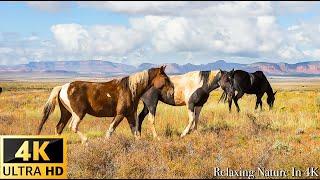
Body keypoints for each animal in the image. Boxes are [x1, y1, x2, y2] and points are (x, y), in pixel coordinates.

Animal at [36, 66, 174, 143]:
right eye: (165, 78)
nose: (172, 91)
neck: (130, 89)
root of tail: (63, 87)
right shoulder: (120, 114)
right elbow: (110, 130)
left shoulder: (130, 115)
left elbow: (135, 132)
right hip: (78, 113)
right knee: (73, 127)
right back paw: (86, 141)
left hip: (66, 113)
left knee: (59, 127)